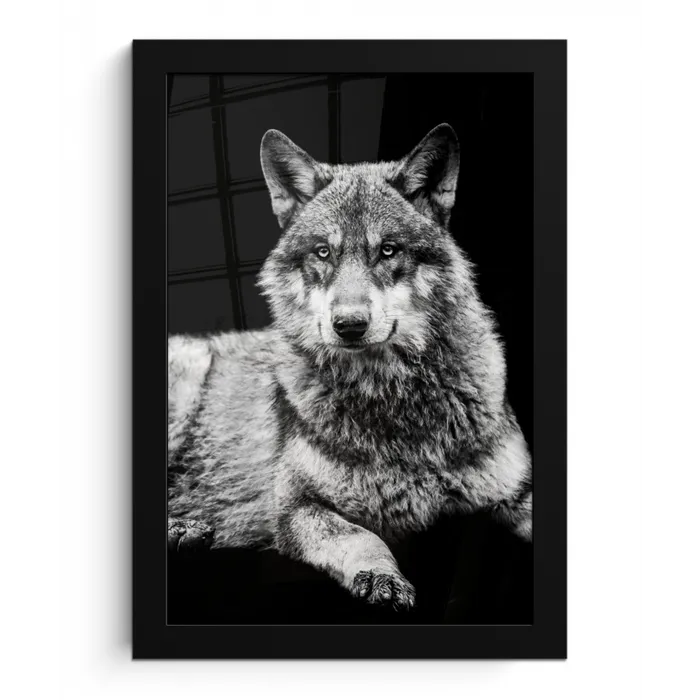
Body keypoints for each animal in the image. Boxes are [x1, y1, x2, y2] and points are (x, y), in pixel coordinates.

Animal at [168, 124, 532, 610]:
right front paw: (381, 576)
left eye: (388, 250)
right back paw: (182, 529)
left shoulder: (517, 490)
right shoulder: (296, 507)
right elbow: (362, 537)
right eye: (323, 253)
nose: (349, 325)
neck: (392, 400)